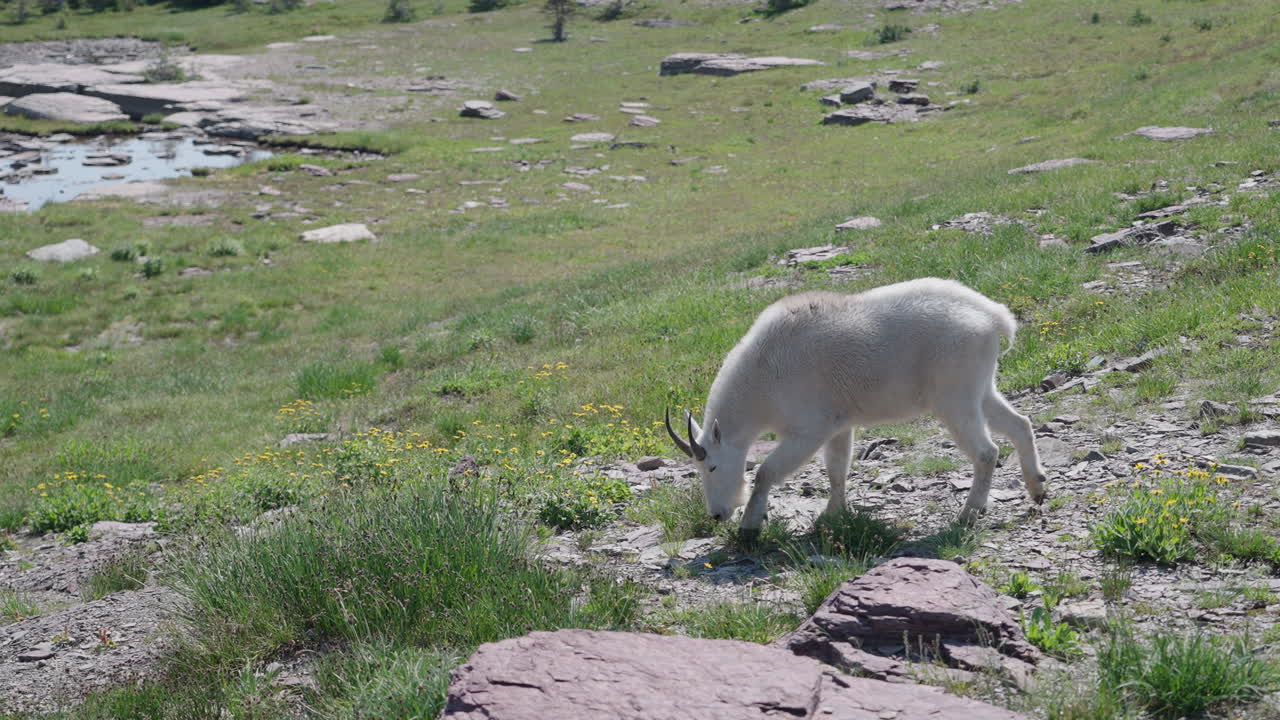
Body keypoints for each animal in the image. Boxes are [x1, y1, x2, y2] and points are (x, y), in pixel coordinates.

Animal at [665, 277, 1047, 531]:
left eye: (712, 467)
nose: (717, 514)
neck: (762, 376)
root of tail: (994, 316)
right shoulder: (839, 425)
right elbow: (837, 470)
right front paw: (831, 514)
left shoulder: (809, 429)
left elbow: (765, 472)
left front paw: (750, 524)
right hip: (981, 388)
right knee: (1020, 424)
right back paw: (1036, 488)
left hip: (955, 398)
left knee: (986, 451)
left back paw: (970, 512)